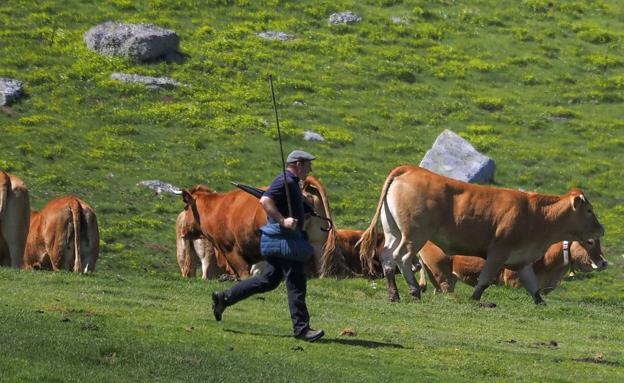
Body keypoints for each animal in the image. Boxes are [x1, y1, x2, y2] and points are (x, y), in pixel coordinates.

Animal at [179, 176, 346, 280]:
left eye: (186, 207)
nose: (182, 232)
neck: (216, 207)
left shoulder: (229, 248)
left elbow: (243, 271)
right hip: (318, 243)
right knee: (321, 267)